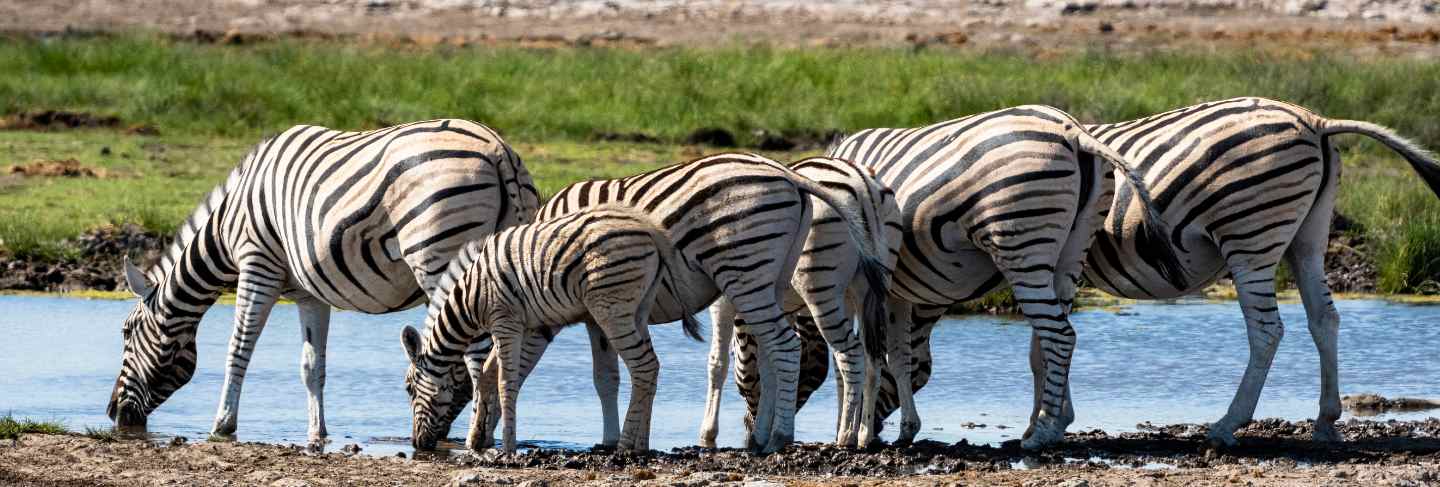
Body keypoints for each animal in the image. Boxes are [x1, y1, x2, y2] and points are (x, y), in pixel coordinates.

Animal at [104, 118, 538, 443]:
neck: (228, 225)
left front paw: (222, 424)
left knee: (479, 356)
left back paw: (478, 436)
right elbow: (312, 365)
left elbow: (238, 348)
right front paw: (318, 432)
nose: (112, 414)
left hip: (441, 258)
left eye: (126, 332)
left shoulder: (257, 264)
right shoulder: (310, 294)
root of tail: (498, 150)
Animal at [403, 206, 699, 452]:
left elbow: (505, 381)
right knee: (652, 368)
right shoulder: (518, 326)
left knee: (643, 367)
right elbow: (487, 374)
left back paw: (625, 445)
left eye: (409, 389)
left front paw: (507, 447)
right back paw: (642, 444)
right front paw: (477, 440)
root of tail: (651, 230)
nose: (417, 444)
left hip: (611, 309)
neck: (470, 297)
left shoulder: (505, 322)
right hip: (638, 309)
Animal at [696, 157, 898, 449]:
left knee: (850, 354)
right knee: (870, 360)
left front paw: (708, 433)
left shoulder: (722, 302)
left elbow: (717, 363)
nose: (748, 430)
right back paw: (862, 434)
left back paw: (846, 436)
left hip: (820, 285)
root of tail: (863, 185)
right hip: (869, 290)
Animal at [1082, 97, 1440, 446]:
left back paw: (1228, 424)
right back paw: (1326, 420)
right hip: (1308, 238)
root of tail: (1317, 122)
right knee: (1324, 319)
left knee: (1266, 330)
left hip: (1251, 235)